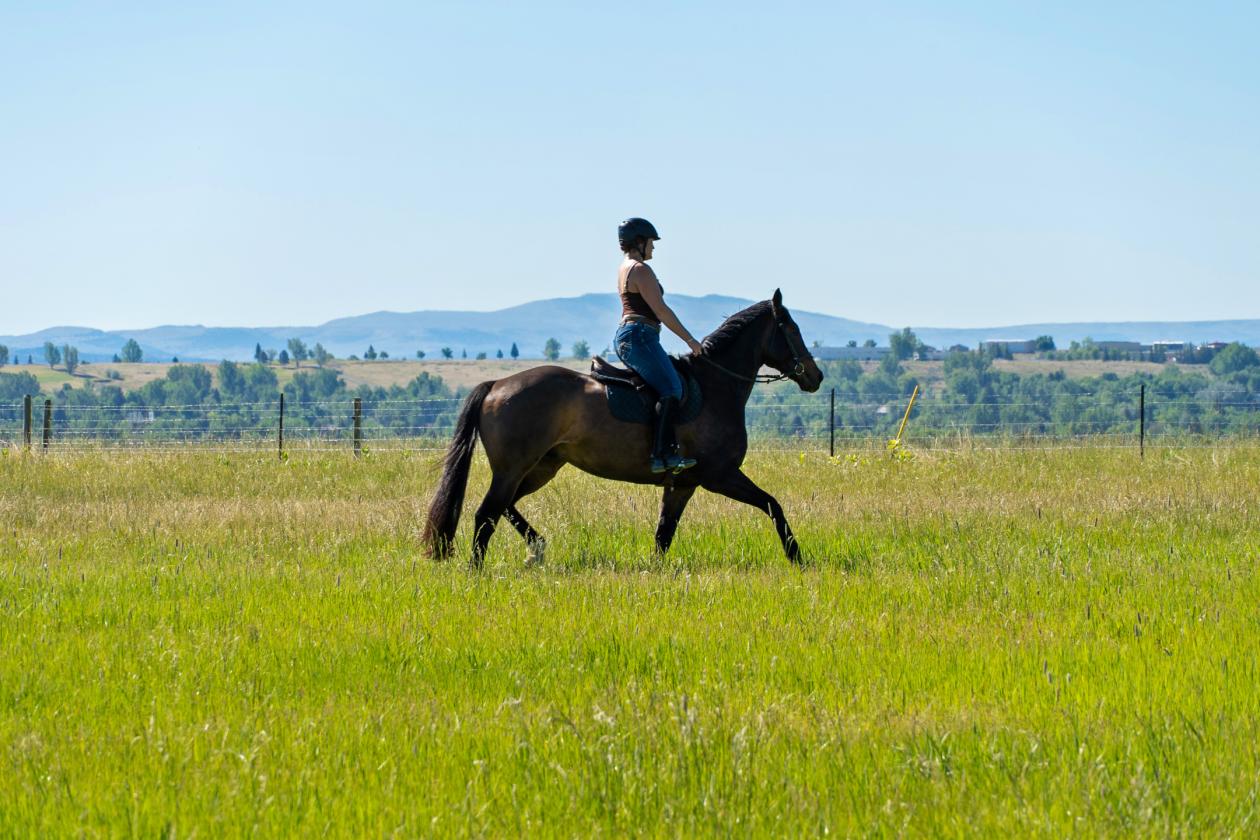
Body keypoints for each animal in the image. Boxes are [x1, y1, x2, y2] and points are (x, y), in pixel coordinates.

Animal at [423, 289, 825, 567]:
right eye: (791, 329)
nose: (816, 376)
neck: (716, 386)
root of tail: (497, 385)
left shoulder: (683, 484)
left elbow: (664, 533)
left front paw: (654, 571)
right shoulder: (721, 475)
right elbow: (773, 506)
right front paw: (797, 558)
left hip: (542, 466)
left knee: (505, 507)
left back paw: (536, 549)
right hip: (514, 467)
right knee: (486, 513)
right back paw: (477, 570)